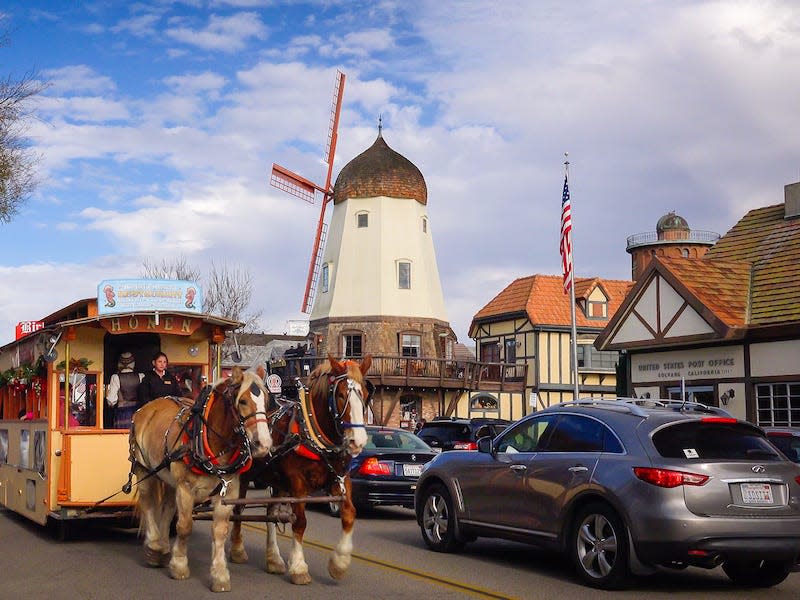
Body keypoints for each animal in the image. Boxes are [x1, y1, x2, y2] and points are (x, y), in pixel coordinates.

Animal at [128, 366, 272, 592]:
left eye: (266, 401)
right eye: (242, 401)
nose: (263, 444)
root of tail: (148, 407)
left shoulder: (226, 491)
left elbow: (220, 531)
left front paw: (220, 575)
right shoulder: (186, 488)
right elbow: (184, 526)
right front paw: (179, 565)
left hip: (169, 478)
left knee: (167, 507)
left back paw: (163, 546)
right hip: (144, 469)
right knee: (149, 503)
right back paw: (153, 546)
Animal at [228, 354, 372, 584]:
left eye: (365, 394)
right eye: (341, 395)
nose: (357, 441)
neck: (315, 433)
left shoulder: (341, 479)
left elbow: (350, 513)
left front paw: (339, 563)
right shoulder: (297, 483)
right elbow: (300, 522)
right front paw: (298, 567)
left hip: (276, 481)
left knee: (271, 513)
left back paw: (274, 559)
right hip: (243, 476)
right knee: (238, 510)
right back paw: (238, 550)